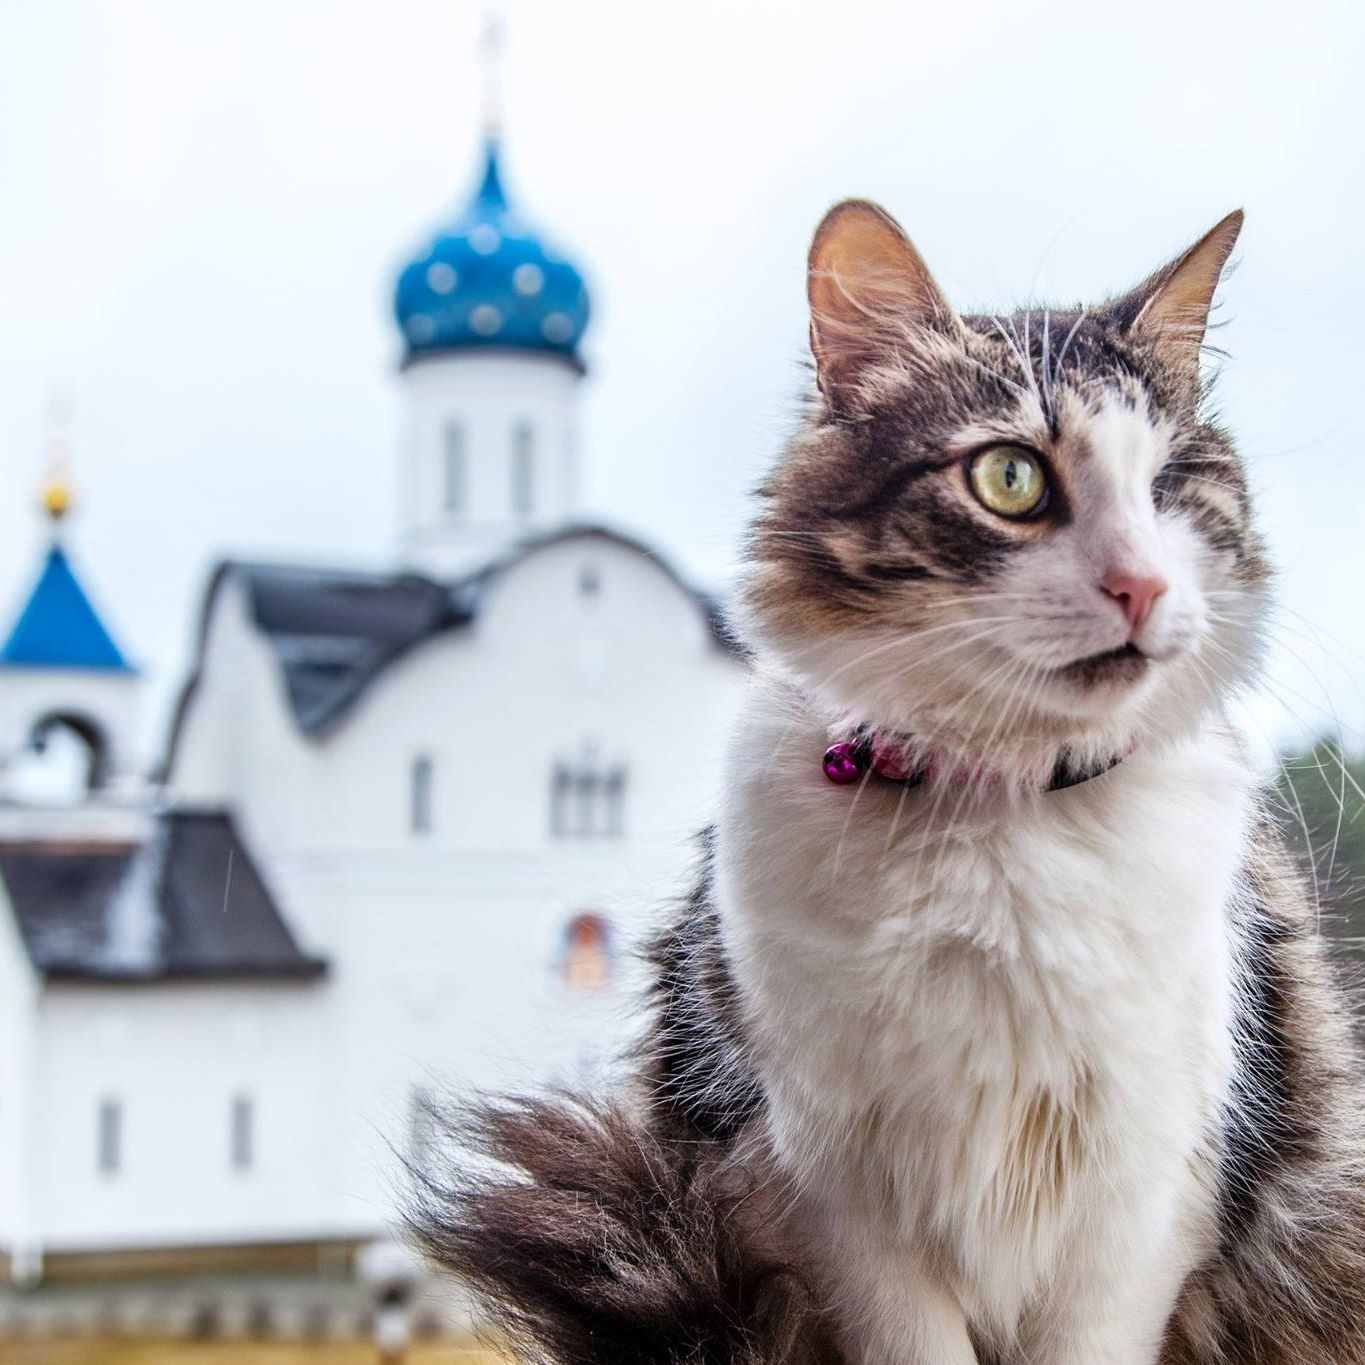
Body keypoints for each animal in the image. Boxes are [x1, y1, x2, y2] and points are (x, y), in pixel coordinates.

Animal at [412, 202, 1365, 1365]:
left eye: (1169, 486)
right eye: (1010, 479)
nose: (1143, 584)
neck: (1000, 816)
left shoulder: (1144, 1208)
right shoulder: (836, 1202)